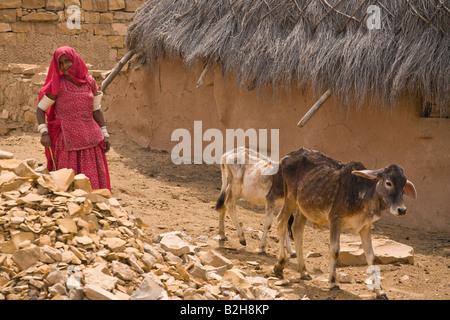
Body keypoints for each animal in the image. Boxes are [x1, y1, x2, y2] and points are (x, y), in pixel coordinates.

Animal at [272, 148, 416, 300]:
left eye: (403, 185)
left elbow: (371, 256)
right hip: (290, 198)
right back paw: (279, 266)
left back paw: (303, 272)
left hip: (303, 207)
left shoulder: (365, 226)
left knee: (297, 228)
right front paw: (333, 283)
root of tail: (288, 156)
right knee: (280, 222)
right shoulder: (335, 220)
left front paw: (380, 291)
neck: (362, 194)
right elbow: (334, 251)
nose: (401, 209)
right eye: (389, 183)